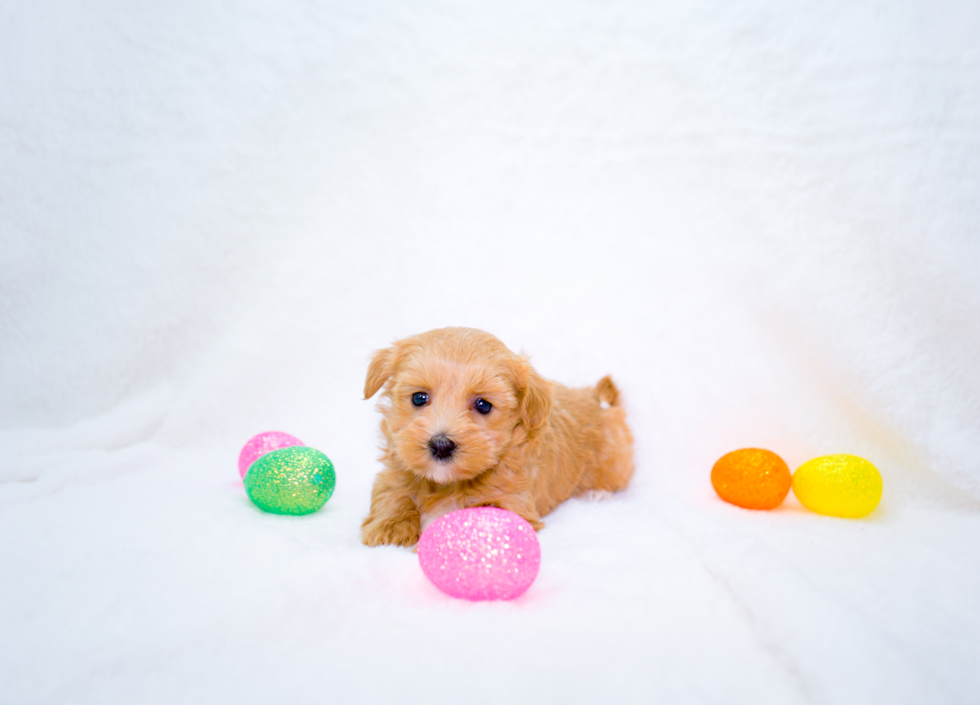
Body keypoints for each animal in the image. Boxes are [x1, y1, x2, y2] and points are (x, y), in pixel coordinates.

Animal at [362, 328, 636, 548]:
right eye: (419, 398)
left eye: (483, 405)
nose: (441, 446)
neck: (448, 483)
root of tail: (596, 398)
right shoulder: (394, 473)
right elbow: (392, 494)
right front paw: (389, 530)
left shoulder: (514, 504)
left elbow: (479, 517)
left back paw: (597, 493)